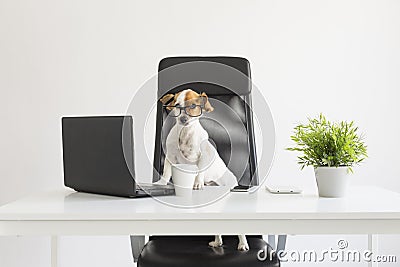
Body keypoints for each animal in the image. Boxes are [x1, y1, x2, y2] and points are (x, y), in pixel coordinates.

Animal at [157, 89, 248, 252]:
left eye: (193, 106)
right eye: (177, 106)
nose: (183, 119)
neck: (185, 134)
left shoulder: (203, 157)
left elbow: (199, 172)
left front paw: (197, 184)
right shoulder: (170, 157)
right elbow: (166, 173)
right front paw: (162, 183)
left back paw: (242, 244)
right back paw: (217, 242)